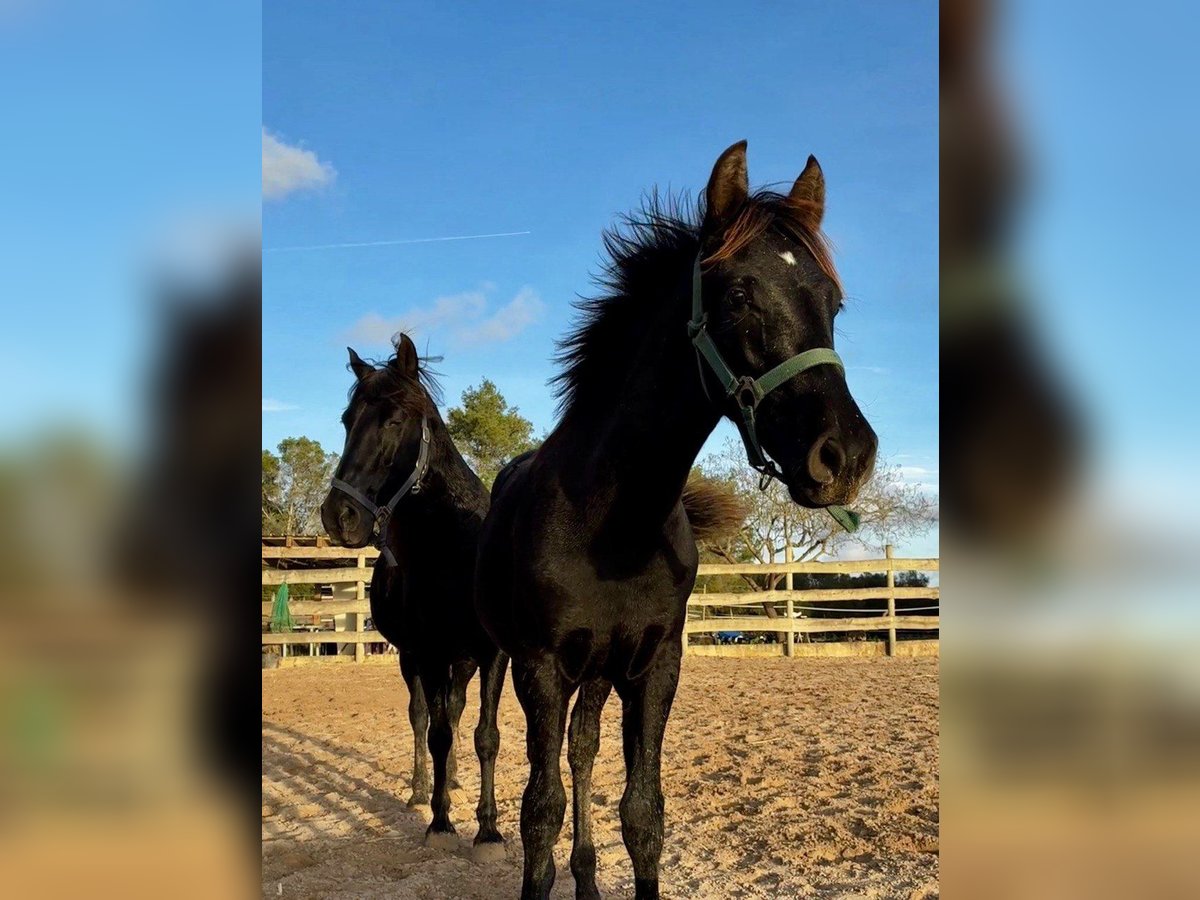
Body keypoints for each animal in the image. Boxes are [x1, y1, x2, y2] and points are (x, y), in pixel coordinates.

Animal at [320, 334, 509, 861]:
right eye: (347, 420)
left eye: (395, 420)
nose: (338, 516)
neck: (457, 550)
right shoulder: (427, 653)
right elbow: (436, 731)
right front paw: (441, 823)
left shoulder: (491, 654)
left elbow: (485, 735)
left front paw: (488, 830)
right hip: (415, 659)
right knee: (424, 717)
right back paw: (423, 790)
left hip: (461, 661)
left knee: (456, 711)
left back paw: (456, 781)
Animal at [475, 141, 878, 900]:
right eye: (740, 295)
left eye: (833, 304)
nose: (845, 456)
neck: (612, 528)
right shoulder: (540, 668)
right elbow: (538, 812)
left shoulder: (654, 665)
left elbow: (642, 812)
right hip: (495, 656)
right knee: (485, 737)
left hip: (599, 674)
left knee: (582, 751)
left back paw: (587, 877)